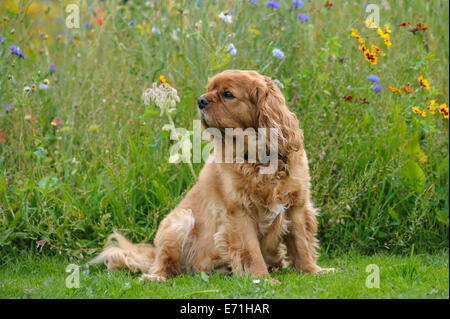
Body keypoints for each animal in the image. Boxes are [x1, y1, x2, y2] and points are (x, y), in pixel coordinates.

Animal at [91, 69, 332, 282]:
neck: (259, 160)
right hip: (179, 222)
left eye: (227, 94)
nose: (200, 100)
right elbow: (252, 252)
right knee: (165, 263)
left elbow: (301, 244)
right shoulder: (239, 213)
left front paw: (313, 271)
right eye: (208, 90)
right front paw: (261, 279)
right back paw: (156, 277)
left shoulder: (296, 207)